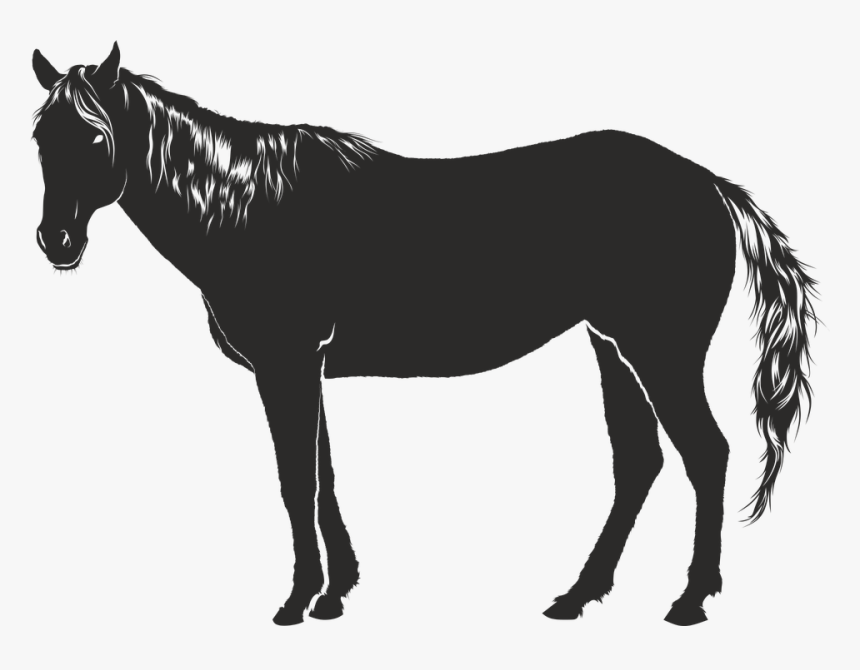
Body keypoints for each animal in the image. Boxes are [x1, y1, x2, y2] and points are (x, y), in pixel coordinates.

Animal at [31, 43, 817, 627]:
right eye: (39, 137)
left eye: (94, 135)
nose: (56, 240)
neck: (251, 210)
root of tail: (710, 184)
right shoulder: (309, 369)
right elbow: (324, 475)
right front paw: (335, 593)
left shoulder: (287, 363)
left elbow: (296, 479)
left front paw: (296, 600)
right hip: (613, 348)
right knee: (639, 464)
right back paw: (576, 596)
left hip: (661, 352)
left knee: (705, 455)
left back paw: (689, 600)